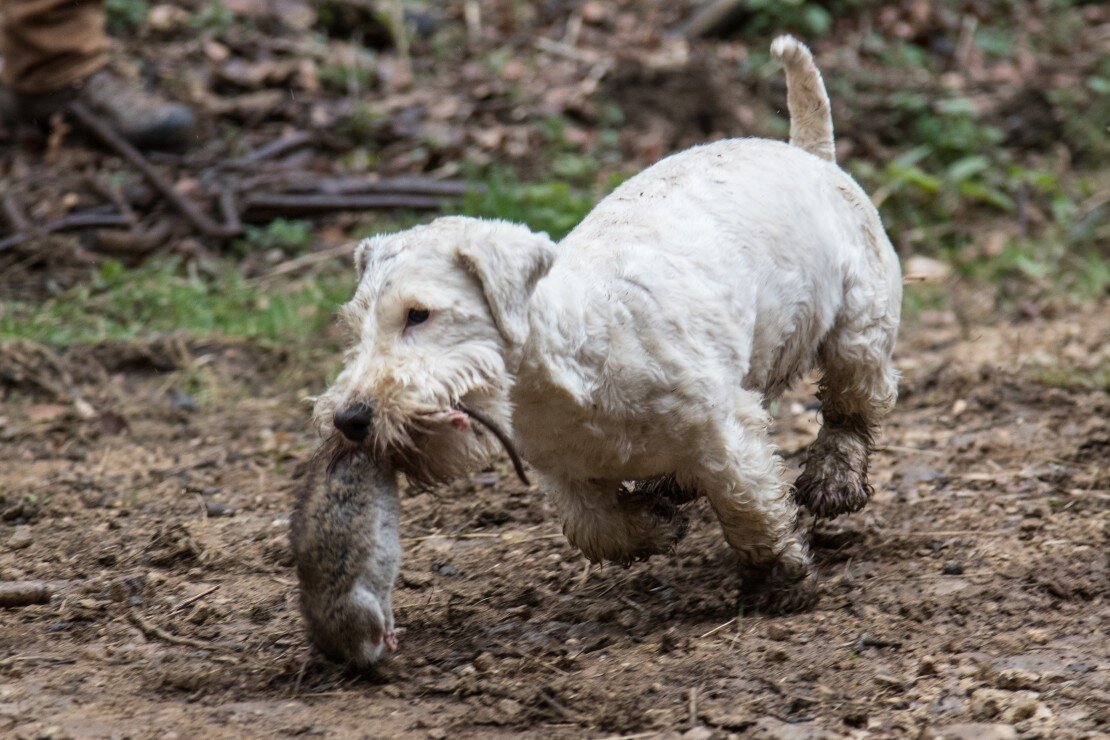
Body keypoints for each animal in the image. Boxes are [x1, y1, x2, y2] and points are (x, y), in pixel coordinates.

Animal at [315, 37, 901, 612]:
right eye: (356, 326)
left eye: (419, 313)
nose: (350, 419)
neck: (570, 366)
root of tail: (810, 154)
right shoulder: (564, 472)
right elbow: (596, 528)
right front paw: (657, 524)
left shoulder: (720, 431)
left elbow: (747, 500)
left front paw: (779, 575)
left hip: (859, 330)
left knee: (851, 408)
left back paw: (831, 481)